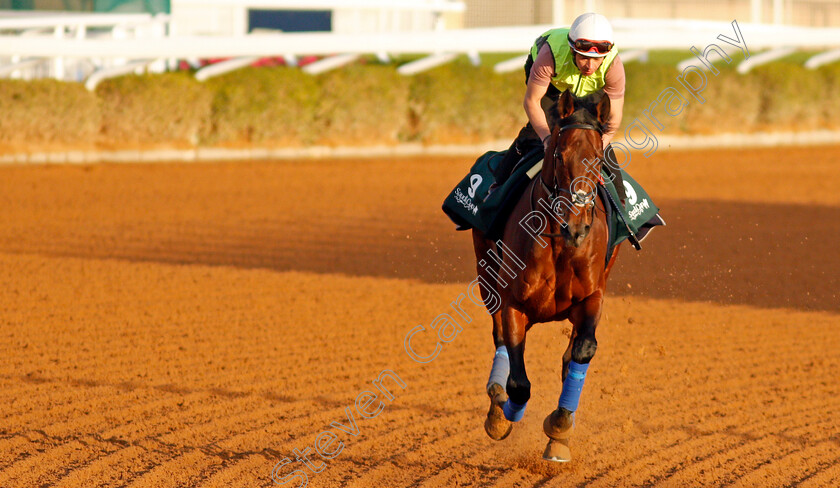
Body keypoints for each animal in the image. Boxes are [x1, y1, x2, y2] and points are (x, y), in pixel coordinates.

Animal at [472, 90, 624, 462]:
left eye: (597, 158)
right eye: (559, 153)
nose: (576, 225)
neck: (560, 244)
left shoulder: (593, 296)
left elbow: (581, 351)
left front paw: (559, 427)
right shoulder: (512, 302)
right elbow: (518, 382)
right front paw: (504, 415)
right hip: (486, 277)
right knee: (499, 340)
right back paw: (497, 408)